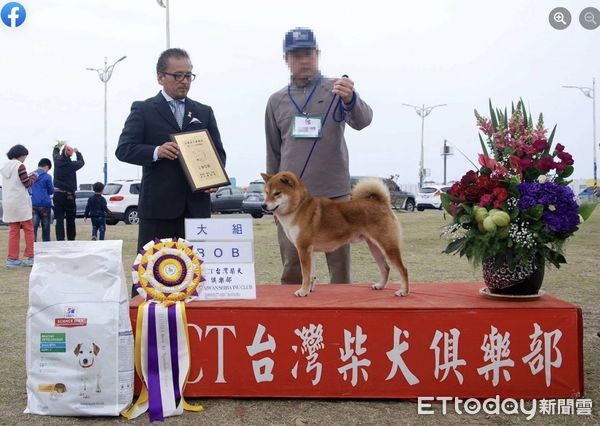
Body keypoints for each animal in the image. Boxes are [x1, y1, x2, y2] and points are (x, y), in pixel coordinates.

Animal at [260, 171, 410, 298]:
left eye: (277, 193)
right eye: (266, 192)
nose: (263, 205)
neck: (298, 207)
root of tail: (381, 202)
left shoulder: (303, 249)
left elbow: (305, 274)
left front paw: (302, 292)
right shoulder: (309, 251)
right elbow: (311, 275)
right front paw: (308, 290)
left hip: (388, 246)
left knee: (403, 269)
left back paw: (403, 291)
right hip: (374, 247)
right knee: (385, 267)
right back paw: (380, 286)